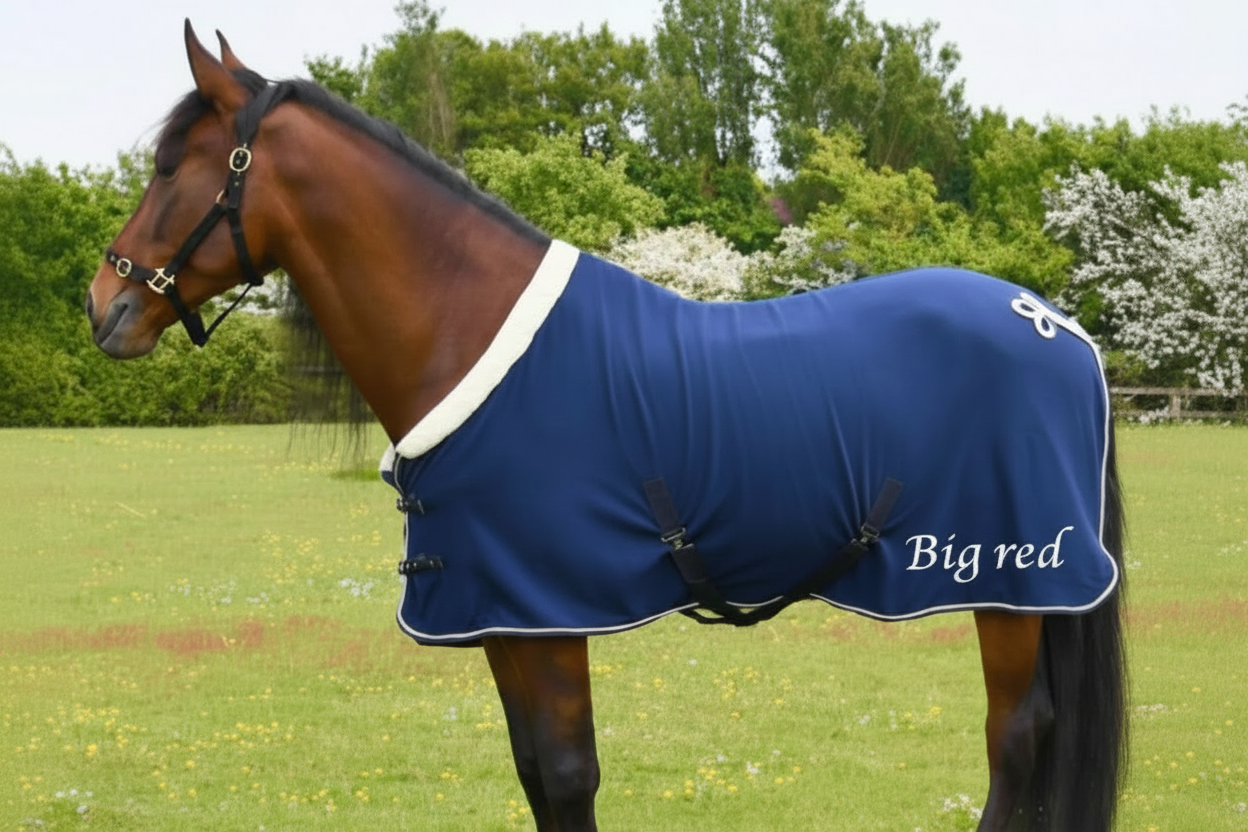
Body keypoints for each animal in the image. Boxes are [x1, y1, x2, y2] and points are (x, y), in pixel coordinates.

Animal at [86, 23, 1126, 831]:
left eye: (171, 168)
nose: (105, 305)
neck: (470, 332)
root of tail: (1051, 321)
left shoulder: (549, 616)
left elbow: (567, 776)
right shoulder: (505, 614)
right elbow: (537, 777)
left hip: (1010, 585)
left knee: (1017, 737)